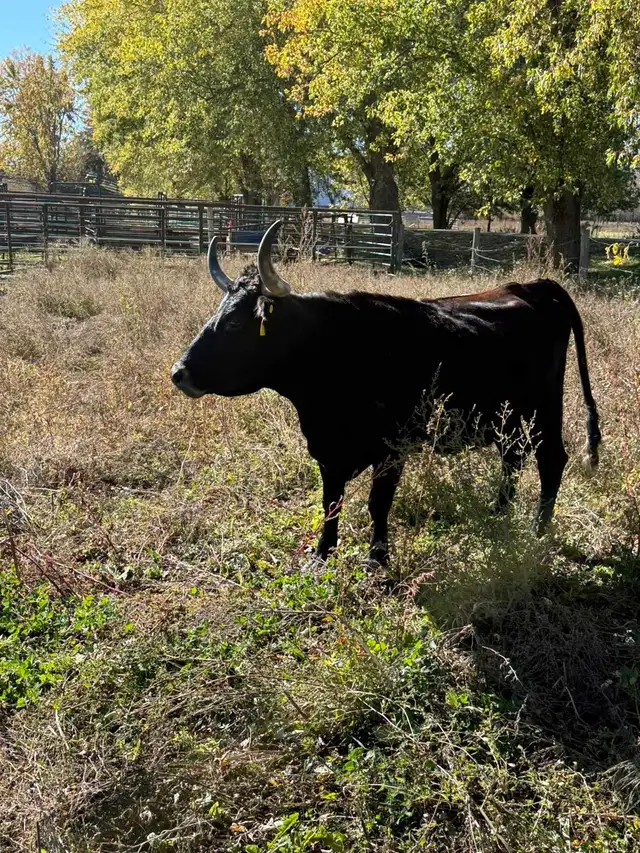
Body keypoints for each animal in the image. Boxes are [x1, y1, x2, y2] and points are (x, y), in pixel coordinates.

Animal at [171, 220, 601, 565]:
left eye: (233, 324)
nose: (178, 373)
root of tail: (533, 286)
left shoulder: (393, 447)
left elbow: (378, 504)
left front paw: (377, 558)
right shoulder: (328, 449)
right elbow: (331, 502)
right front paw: (322, 553)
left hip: (544, 408)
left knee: (551, 460)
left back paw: (537, 530)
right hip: (506, 416)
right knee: (513, 458)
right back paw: (498, 515)